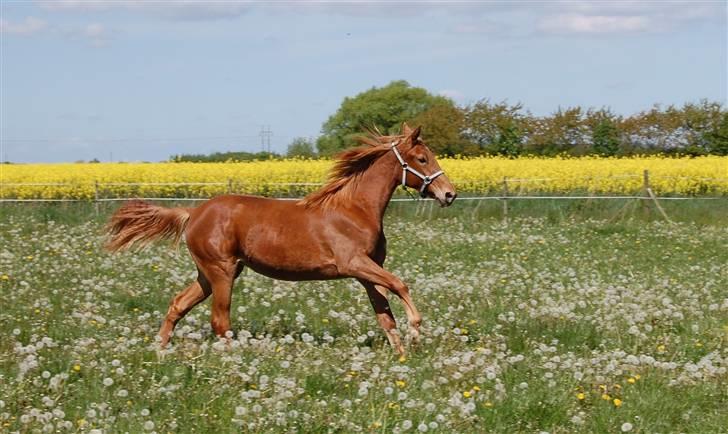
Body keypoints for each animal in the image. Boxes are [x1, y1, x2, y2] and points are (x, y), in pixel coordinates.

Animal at [104, 124, 456, 354]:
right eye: (422, 159)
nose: (449, 194)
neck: (354, 208)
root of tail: (193, 213)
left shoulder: (366, 272)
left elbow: (385, 315)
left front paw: (401, 355)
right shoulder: (354, 263)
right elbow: (400, 285)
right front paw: (416, 331)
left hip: (211, 273)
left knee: (178, 304)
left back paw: (160, 350)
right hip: (222, 272)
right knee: (220, 321)